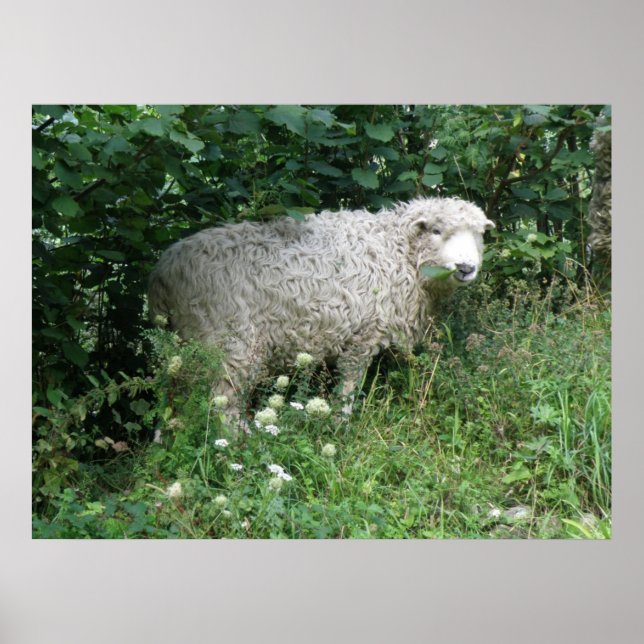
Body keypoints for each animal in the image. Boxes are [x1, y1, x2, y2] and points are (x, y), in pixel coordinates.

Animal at [148, 197, 495, 425]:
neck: (396, 251)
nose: (466, 268)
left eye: (479, 234)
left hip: (182, 345)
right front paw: (341, 426)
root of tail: (164, 272)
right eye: (436, 230)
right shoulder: (362, 336)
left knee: (172, 396)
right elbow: (349, 388)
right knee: (223, 401)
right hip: (229, 342)